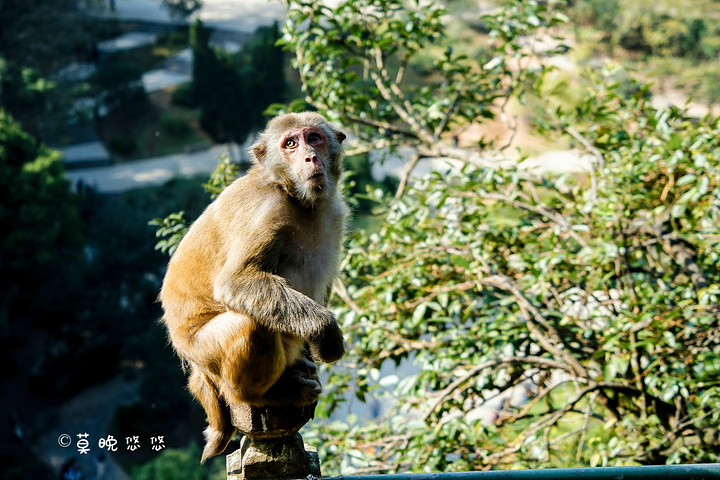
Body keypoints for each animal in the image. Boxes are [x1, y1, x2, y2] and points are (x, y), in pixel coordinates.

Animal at [158, 111, 348, 462]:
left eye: (314, 138)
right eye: (290, 144)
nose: (310, 157)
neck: (298, 199)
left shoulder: (335, 215)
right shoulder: (267, 211)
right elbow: (236, 282)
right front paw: (325, 330)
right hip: (207, 353)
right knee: (251, 323)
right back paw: (264, 396)